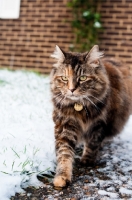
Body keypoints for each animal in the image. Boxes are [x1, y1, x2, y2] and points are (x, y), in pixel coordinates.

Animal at [49, 45, 132, 188]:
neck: (79, 107)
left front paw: (87, 161)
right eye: (64, 78)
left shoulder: (100, 124)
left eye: (82, 78)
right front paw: (62, 178)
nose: (71, 89)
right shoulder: (65, 125)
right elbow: (64, 154)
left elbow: (92, 144)